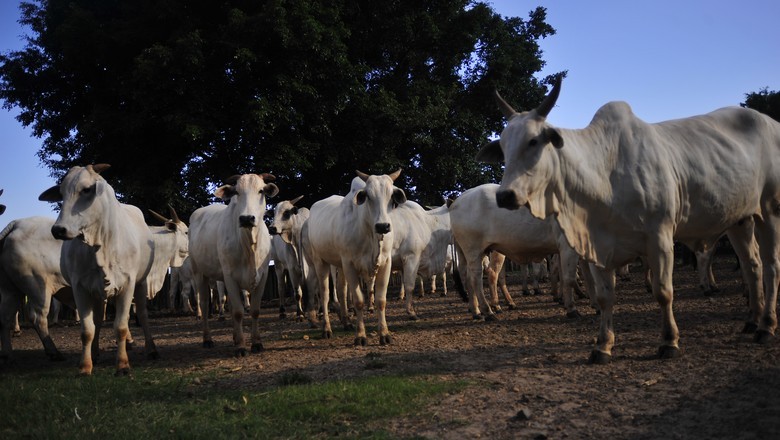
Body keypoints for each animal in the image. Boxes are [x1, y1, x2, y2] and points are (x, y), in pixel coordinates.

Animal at [38, 165, 155, 374]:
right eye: (61, 193)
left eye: (86, 190)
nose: (58, 230)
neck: (102, 243)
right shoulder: (80, 287)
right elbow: (87, 330)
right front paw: (85, 365)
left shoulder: (128, 284)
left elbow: (121, 327)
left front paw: (122, 364)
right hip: (98, 291)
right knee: (99, 320)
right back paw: (95, 353)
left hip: (141, 283)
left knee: (142, 314)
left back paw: (151, 349)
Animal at [186, 170, 278, 356]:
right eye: (237, 192)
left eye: (261, 191)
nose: (247, 218)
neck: (249, 244)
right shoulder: (230, 276)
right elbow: (237, 312)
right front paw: (241, 346)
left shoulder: (263, 275)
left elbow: (255, 311)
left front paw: (256, 343)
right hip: (199, 273)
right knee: (204, 304)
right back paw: (207, 339)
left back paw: (235, 337)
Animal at [304, 170, 408, 346]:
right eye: (369, 197)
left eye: (391, 198)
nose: (383, 226)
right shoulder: (350, 264)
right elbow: (358, 301)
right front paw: (360, 336)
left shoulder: (385, 263)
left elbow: (381, 300)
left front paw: (384, 334)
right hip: (320, 261)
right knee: (325, 294)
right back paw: (326, 329)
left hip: (339, 265)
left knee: (341, 290)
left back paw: (346, 322)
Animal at [478, 76, 772, 364]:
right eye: (503, 147)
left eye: (533, 141)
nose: (505, 196)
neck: (605, 173)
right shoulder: (596, 245)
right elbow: (605, 296)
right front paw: (603, 345)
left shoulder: (658, 237)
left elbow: (663, 291)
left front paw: (669, 341)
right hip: (740, 221)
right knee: (753, 265)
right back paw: (753, 320)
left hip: (768, 210)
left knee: (769, 265)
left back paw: (765, 326)